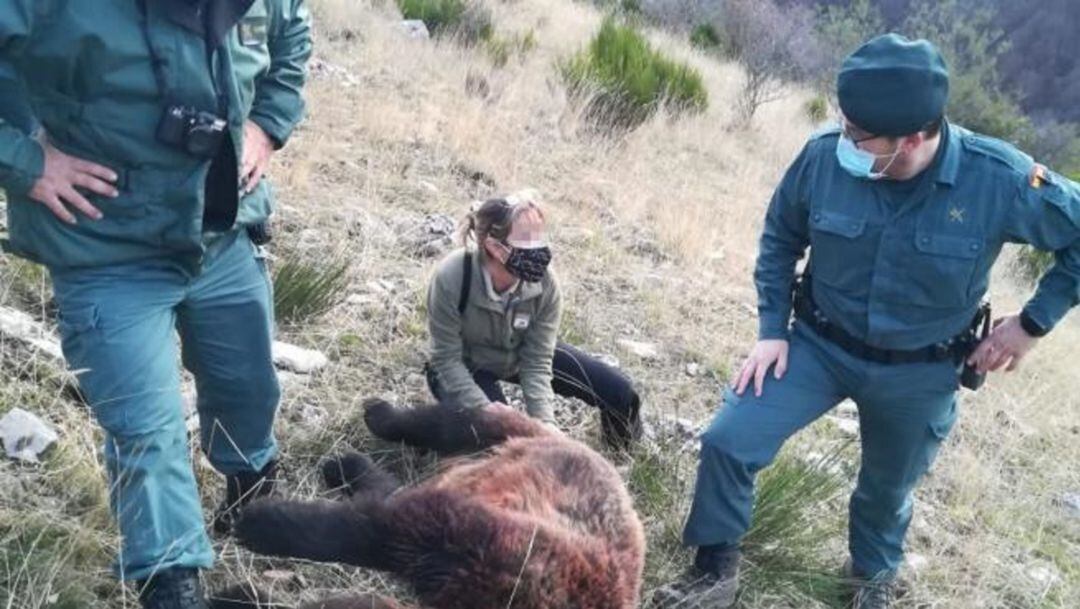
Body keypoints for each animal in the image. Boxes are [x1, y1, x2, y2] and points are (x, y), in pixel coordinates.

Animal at [219, 399, 639, 609]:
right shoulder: (478, 536)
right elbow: (370, 530)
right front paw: (262, 521)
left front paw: (242, 594)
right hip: (504, 434)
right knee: (448, 423)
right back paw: (378, 416)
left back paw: (347, 466)